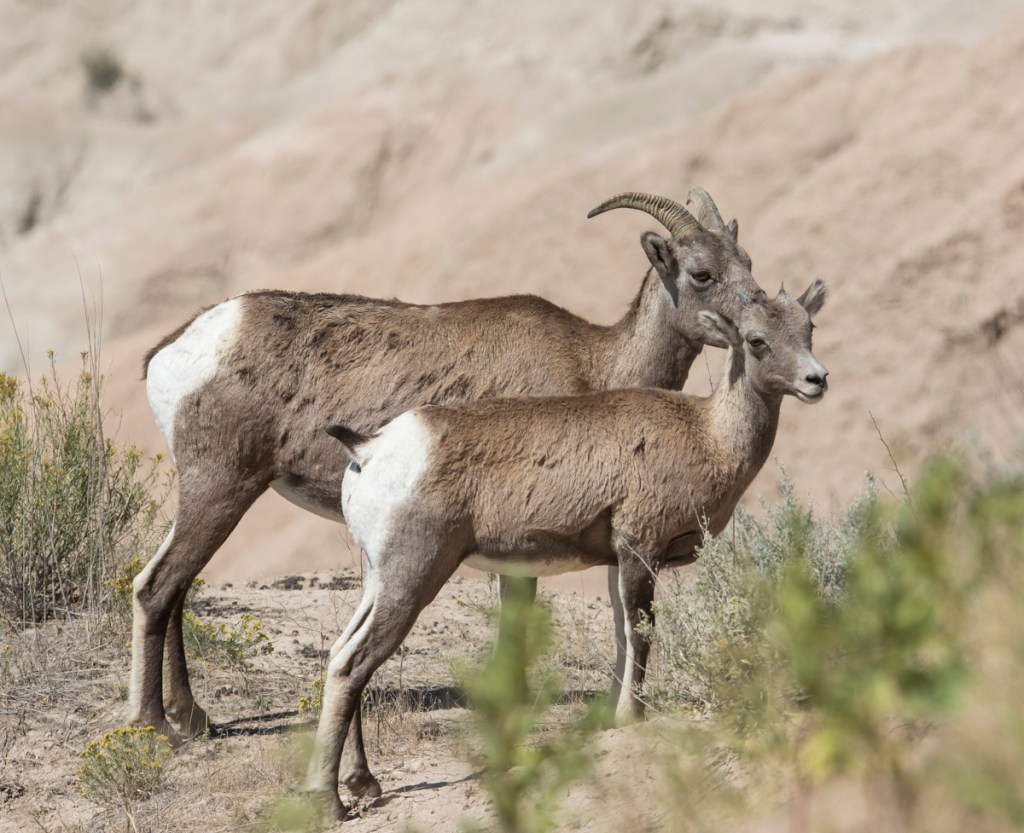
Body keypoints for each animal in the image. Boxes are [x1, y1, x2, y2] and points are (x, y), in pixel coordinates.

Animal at [130, 189, 761, 802]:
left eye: (747, 263)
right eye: (702, 274)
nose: (755, 328)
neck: (596, 363)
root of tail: (173, 351)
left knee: (177, 586)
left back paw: (194, 719)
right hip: (222, 488)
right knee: (158, 586)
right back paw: (154, 726)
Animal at [310, 281, 827, 818]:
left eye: (808, 327)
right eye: (756, 340)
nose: (816, 380)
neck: (710, 436)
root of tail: (369, 449)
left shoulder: (618, 562)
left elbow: (622, 634)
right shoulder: (641, 551)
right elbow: (642, 634)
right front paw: (631, 719)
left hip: (380, 581)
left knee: (340, 654)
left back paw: (363, 784)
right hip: (413, 578)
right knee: (352, 664)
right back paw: (330, 803)